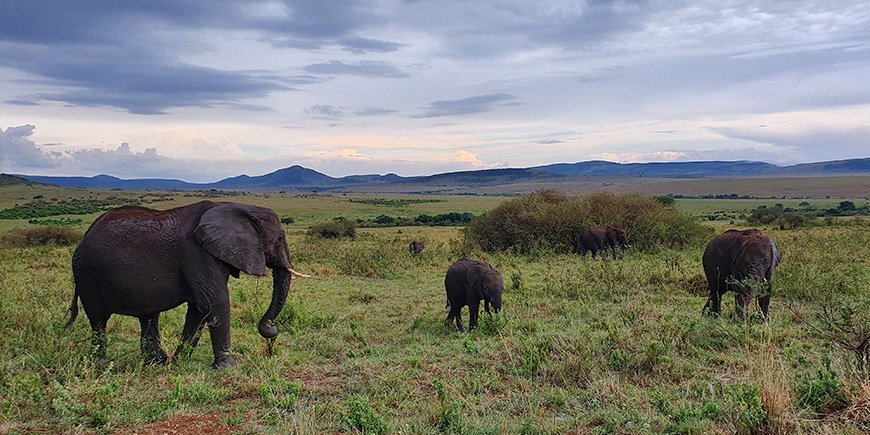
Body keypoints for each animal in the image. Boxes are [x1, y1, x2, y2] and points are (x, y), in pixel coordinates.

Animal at [70, 201, 312, 368]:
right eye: (279, 240)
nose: (271, 330)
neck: (238, 207)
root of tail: (84, 237)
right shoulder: (197, 254)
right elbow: (215, 304)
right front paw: (229, 367)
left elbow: (198, 309)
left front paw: (180, 361)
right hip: (87, 274)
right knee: (99, 320)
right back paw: (101, 363)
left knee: (148, 317)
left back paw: (157, 362)